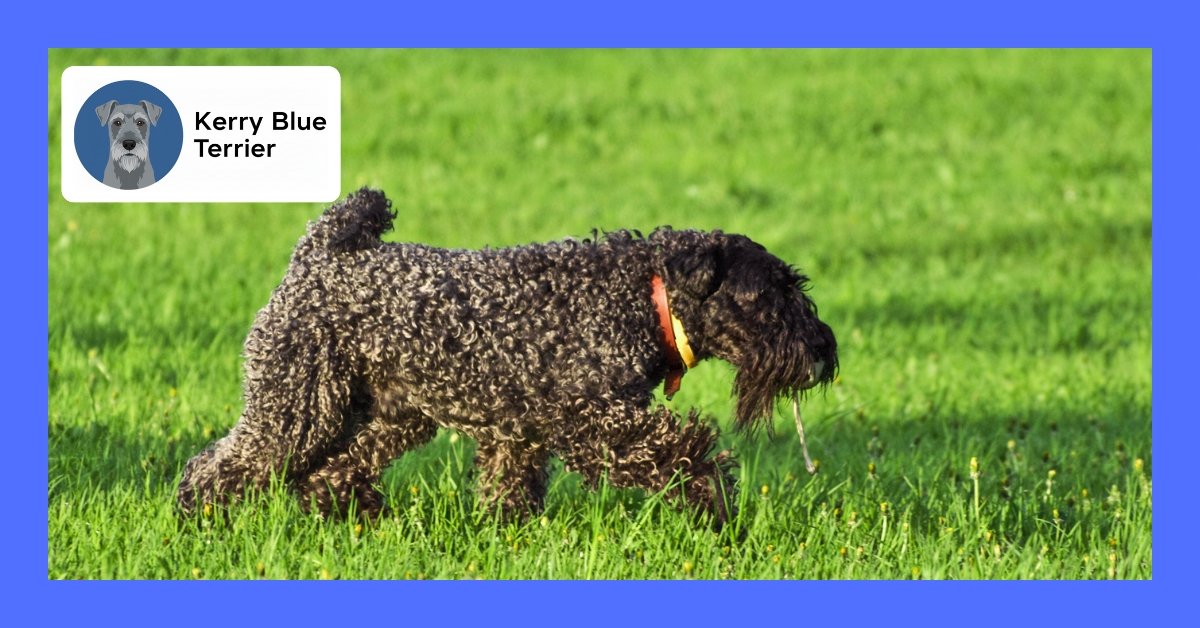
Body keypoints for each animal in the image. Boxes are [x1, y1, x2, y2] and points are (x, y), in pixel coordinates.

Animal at [177, 189, 838, 526]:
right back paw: (199, 518)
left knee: (331, 468)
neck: (638, 293)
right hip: (296, 405)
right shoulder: (594, 419)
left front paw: (510, 536)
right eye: (768, 295)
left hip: (388, 414)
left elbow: (510, 486)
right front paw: (713, 497)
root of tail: (316, 256)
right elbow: (675, 448)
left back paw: (354, 516)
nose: (822, 350)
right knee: (223, 464)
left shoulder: (518, 429)